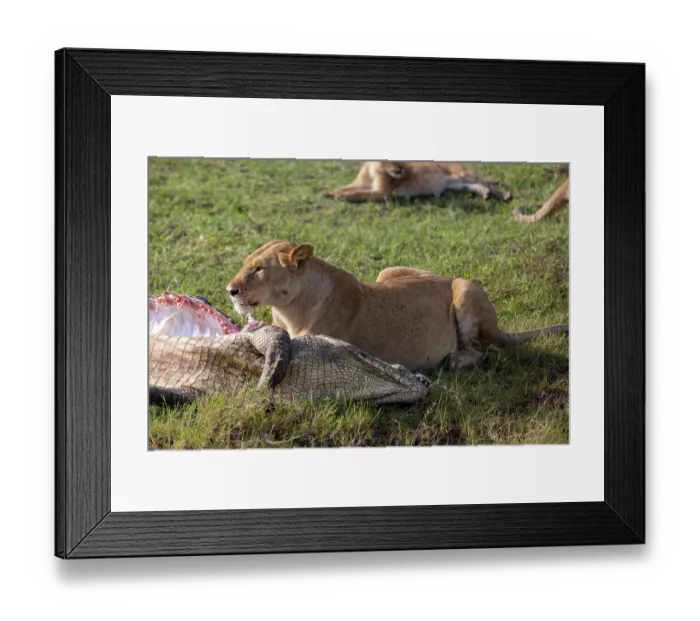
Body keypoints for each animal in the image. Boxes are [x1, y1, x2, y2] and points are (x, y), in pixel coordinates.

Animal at [227, 241, 567, 372]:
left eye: (258, 269)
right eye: (246, 263)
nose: (230, 290)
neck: (287, 311)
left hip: (465, 286)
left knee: (481, 350)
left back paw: (455, 360)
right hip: (387, 272)